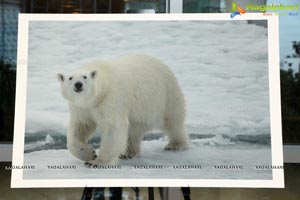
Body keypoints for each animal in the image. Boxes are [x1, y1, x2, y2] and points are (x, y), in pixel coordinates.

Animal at [57, 55, 189, 167]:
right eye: (70, 78)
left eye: (85, 77)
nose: (78, 84)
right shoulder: (81, 107)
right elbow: (81, 126)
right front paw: (89, 153)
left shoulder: (111, 98)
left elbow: (113, 126)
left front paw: (98, 162)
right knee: (134, 130)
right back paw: (128, 153)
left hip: (166, 94)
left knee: (172, 121)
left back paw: (175, 145)